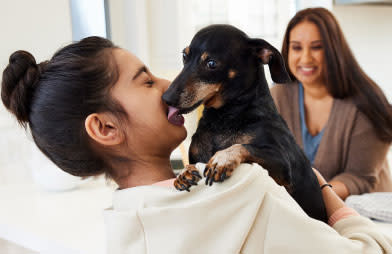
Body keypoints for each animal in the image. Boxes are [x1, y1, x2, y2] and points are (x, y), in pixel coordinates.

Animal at [162, 24, 328, 222]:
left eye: (211, 63)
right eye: (184, 56)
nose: (166, 98)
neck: (223, 119)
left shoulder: (282, 167)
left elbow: (244, 146)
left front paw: (221, 159)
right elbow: (189, 165)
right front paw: (183, 173)